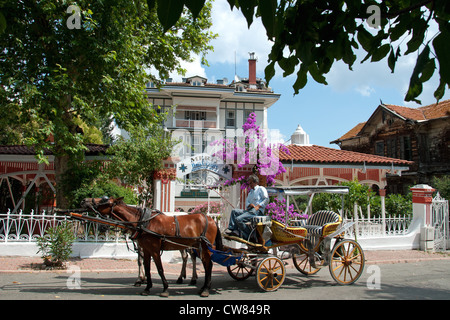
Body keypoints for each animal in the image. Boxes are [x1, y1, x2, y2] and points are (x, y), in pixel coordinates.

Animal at [81, 198, 222, 298]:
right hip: (195, 246)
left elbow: (159, 269)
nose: (84, 201)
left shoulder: (154, 249)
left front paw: (164, 288)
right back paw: (197, 284)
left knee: (206, 263)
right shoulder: (146, 248)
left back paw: (202, 287)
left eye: (103, 200)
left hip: (204, 247)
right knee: (198, 261)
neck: (143, 222)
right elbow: (146, 267)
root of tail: (211, 220)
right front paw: (146, 286)